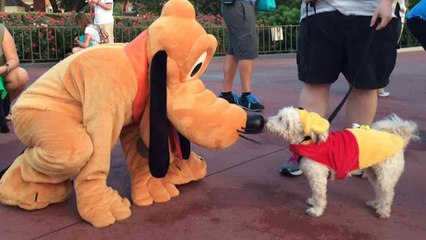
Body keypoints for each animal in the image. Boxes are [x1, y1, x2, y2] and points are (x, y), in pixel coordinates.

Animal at [266, 108, 420, 218]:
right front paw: (313, 202)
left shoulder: (318, 177)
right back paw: (375, 204)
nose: (266, 121)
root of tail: (399, 139)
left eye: (281, 119)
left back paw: (383, 211)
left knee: (388, 194)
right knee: (379, 191)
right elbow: (315, 193)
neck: (308, 141)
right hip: (374, 174)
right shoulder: (315, 177)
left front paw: (316, 210)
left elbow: (320, 195)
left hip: (386, 175)